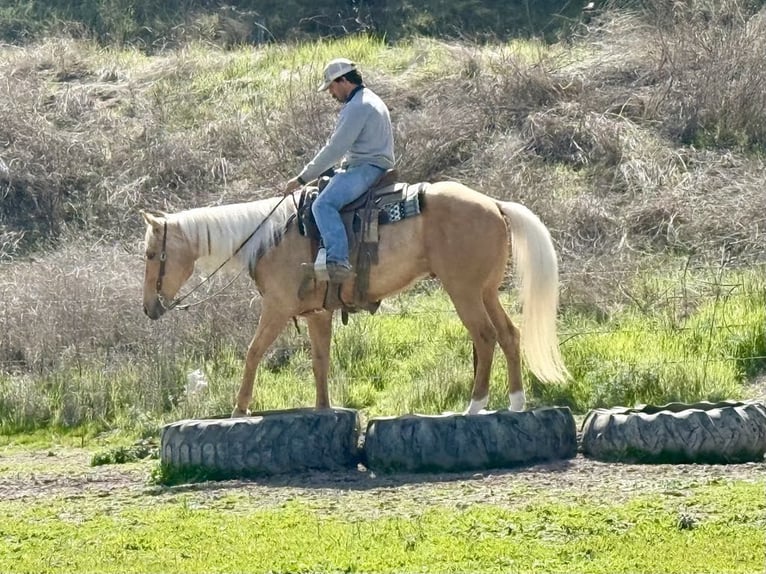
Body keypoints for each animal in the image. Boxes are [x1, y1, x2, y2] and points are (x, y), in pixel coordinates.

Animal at [141, 181, 568, 417]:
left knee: (484, 337)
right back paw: (515, 402)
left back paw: (475, 405)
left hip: (463, 290)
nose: (149, 308)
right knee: (509, 335)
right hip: (485, 290)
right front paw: (323, 408)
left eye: (149, 254)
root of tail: (495, 204)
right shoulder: (317, 314)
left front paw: (240, 407)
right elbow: (320, 362)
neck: (269, 238)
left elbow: (252, 352)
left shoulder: (276, 308)